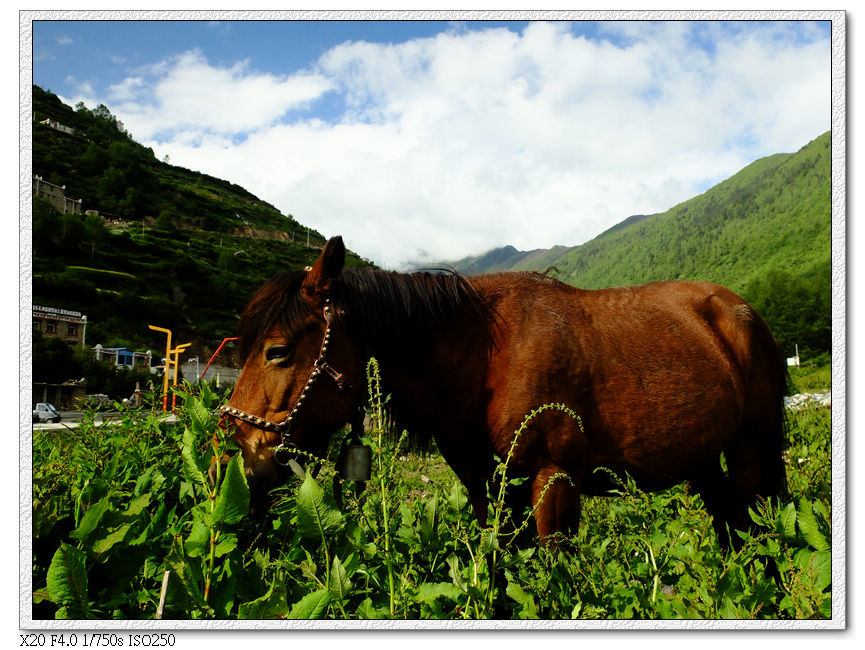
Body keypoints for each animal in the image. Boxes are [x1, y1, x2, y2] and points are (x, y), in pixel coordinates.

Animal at [214, 235, 784, 544]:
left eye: (277, 351)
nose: (242, 453)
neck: (486, 356)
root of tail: (741, 311)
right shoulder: (487, 491)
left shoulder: (555, 482)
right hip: (703, 462)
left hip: (751, 451)